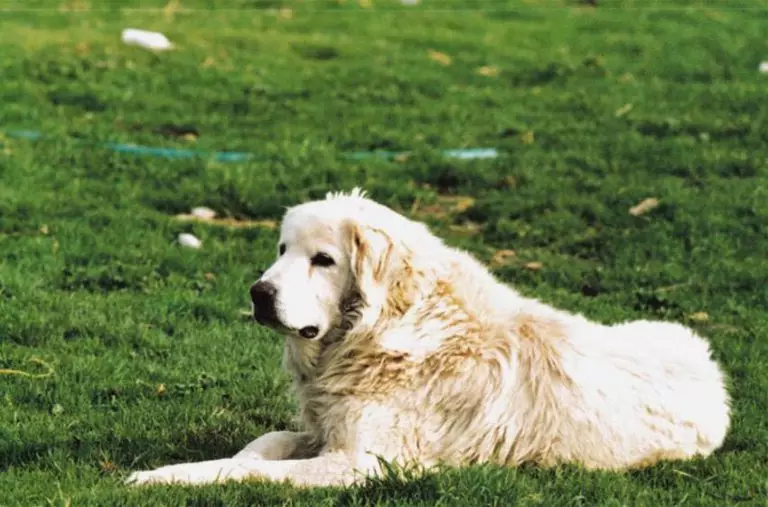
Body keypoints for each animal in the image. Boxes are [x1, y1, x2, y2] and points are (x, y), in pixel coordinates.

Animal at [127, 190, 732, 488]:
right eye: (282, 250)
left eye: (323, 260)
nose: (258, 293)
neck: (378, 332)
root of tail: (712, 370)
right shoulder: (328, 431)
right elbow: (263, 443)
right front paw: (173, 470)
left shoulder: (364, 463)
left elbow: (249, 469)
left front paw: (166, 479)